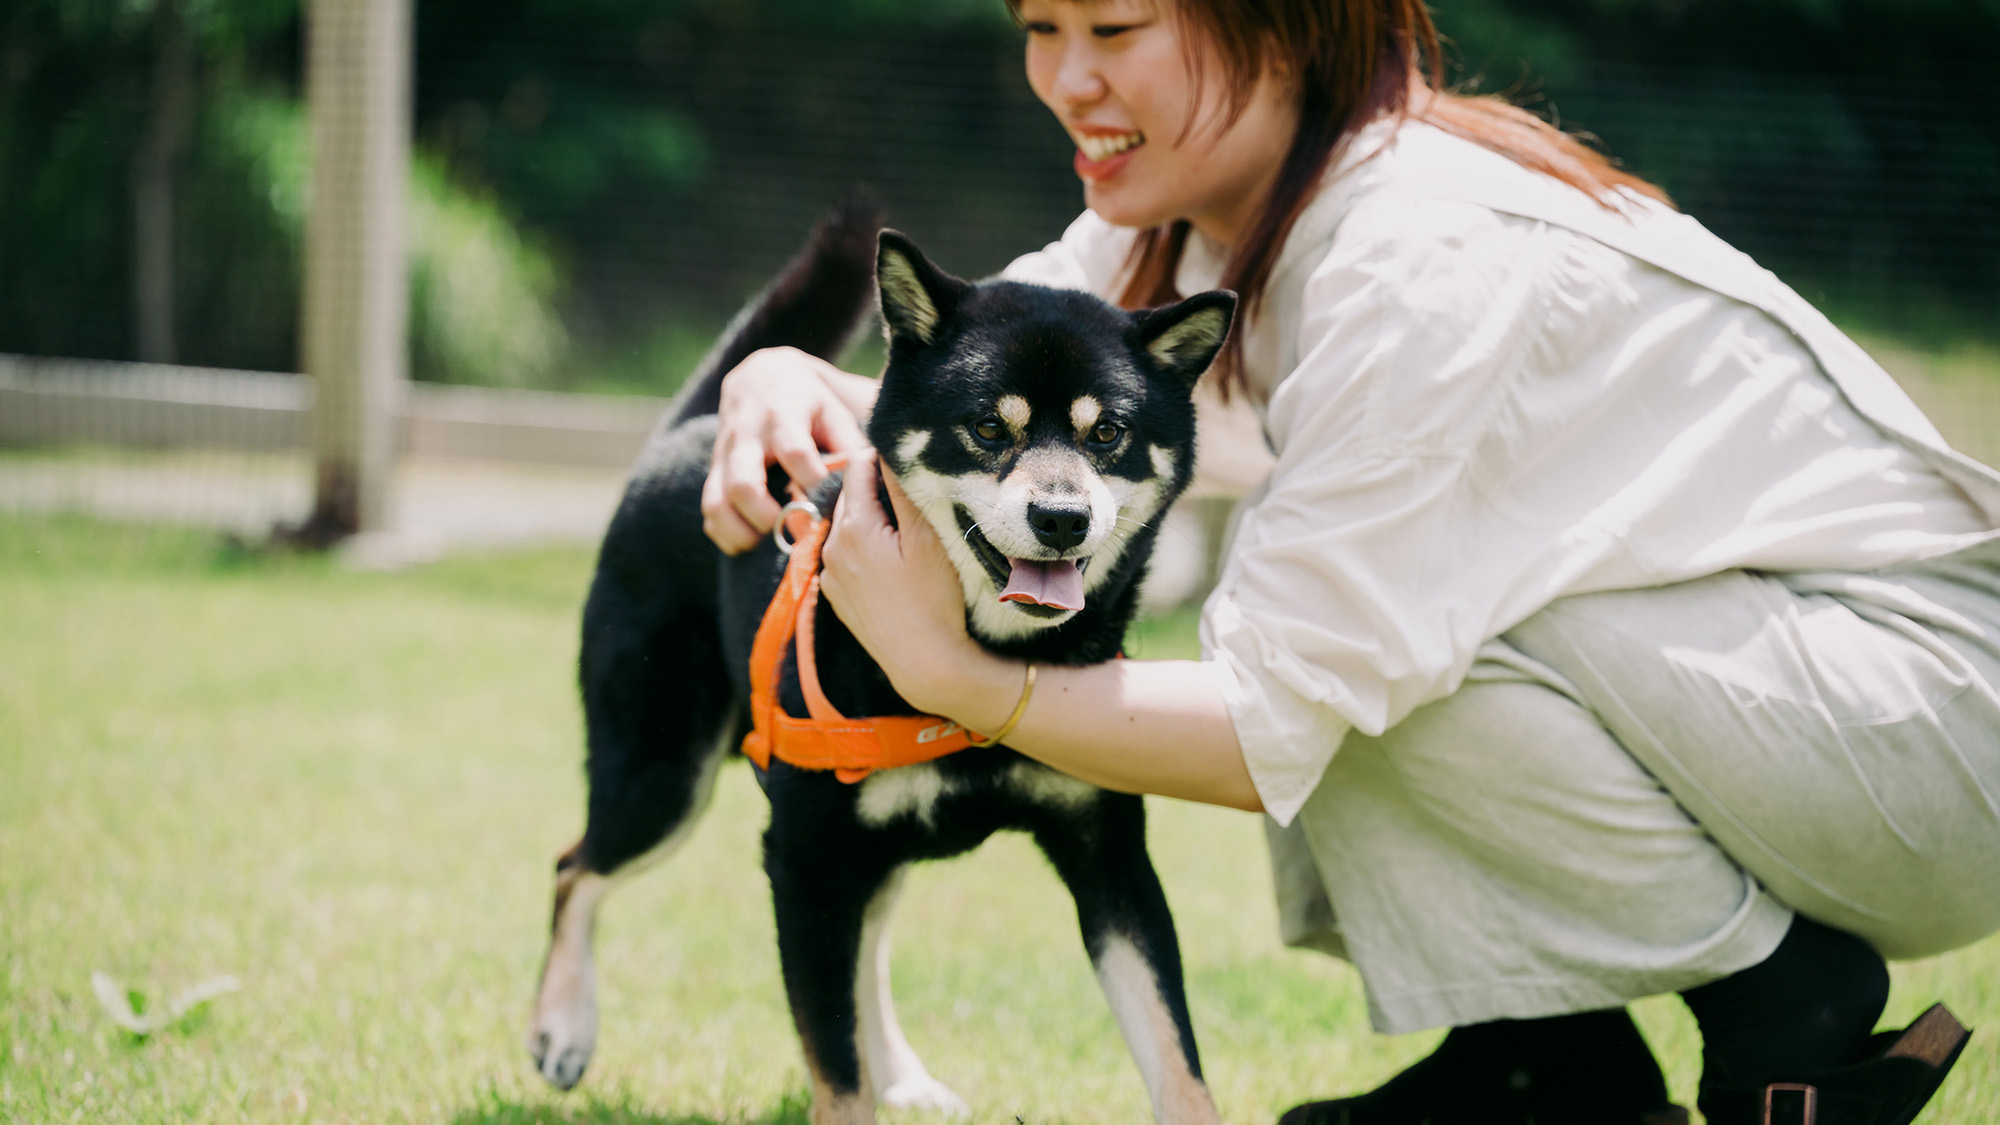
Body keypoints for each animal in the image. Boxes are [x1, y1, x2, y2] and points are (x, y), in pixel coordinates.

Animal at [524, 203, 1232, 1120]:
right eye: (988, 427)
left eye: (1106, 432)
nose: (1061, 517)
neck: (984, 662)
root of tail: (689, 432)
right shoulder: (802, 854)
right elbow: (835, 1064)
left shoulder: (1108, 850)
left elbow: (1176, 1057)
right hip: (661, 779)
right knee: (575, 867)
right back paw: (563, 1026)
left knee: (864, 945)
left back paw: (901, 1074)